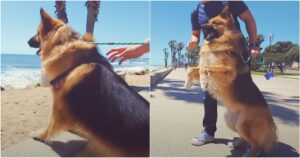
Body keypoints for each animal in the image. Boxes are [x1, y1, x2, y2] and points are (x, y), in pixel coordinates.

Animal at [27, 8, 149, 157]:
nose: (27, 41)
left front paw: (40, 135)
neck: (64, 43)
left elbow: (50, 125)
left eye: (37, 33)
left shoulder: (58, 103)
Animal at [197, 6, 276, 156]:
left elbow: (205, 67)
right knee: (245, 138)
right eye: (209, 21)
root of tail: (269, 118)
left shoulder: (227, 71)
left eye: (215, 23)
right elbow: (199, 68)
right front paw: (202, 81)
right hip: (231, 120)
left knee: (256, 144)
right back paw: (237, 143)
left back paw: (250, 153)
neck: (223, 40)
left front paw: (204, 82)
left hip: (243, 124)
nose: (202, 26)